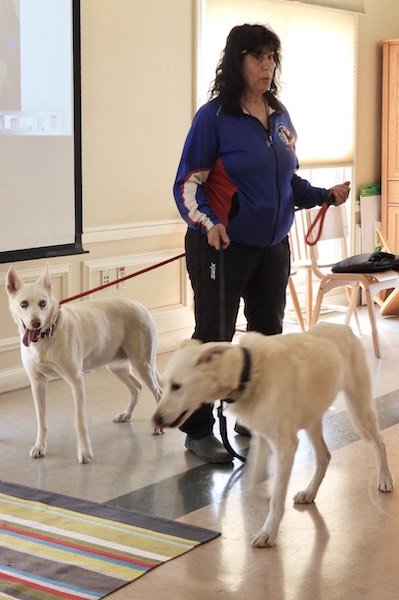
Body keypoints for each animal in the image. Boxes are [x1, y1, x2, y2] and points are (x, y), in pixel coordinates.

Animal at [6, 264, 162, 464]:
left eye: (43, 303)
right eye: (23, 304)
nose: (35, 323)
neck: (48, 336)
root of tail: (140, 306)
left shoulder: (76, 380)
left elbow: (80, 420)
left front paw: (85, 452)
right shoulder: (37, 383)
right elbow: (42, 421)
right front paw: (40, 446)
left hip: (142, 364)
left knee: (158, 392)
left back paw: (157, 426)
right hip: (117, 366)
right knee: (137, 387)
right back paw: (126, 414)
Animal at [155, 324, 396, 548]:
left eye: (176, 386)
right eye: (164, 384)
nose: (155, 419)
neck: (247, 372)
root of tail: (344, 327)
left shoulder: (286, 445)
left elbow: (276, 496)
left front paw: (268, 532)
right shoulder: (262, 438)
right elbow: (253, 482)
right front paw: (266, 496)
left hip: (359, 411)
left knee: (380, 443)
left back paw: (385, 479)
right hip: (312, 420)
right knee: (325, 457)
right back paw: (310, 492)